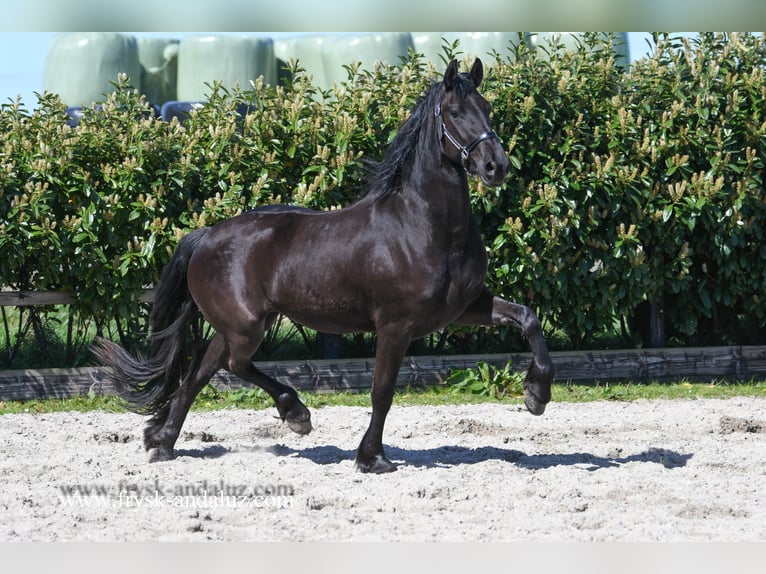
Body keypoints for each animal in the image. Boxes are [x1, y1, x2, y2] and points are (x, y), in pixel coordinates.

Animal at [94, 58, 552, 474]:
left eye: (487, 108)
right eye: (455, 112)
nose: (496, 166)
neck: (422, 227)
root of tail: (205, 236)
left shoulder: (463, 308)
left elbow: (528, 317)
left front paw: (536, 395)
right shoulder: (395, 326)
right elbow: (382, 392)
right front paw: (372, 459)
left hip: (238, 325)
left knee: (200, 372)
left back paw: (163, 442)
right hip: (246, 326)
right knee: (231, 365)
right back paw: (295, 413)